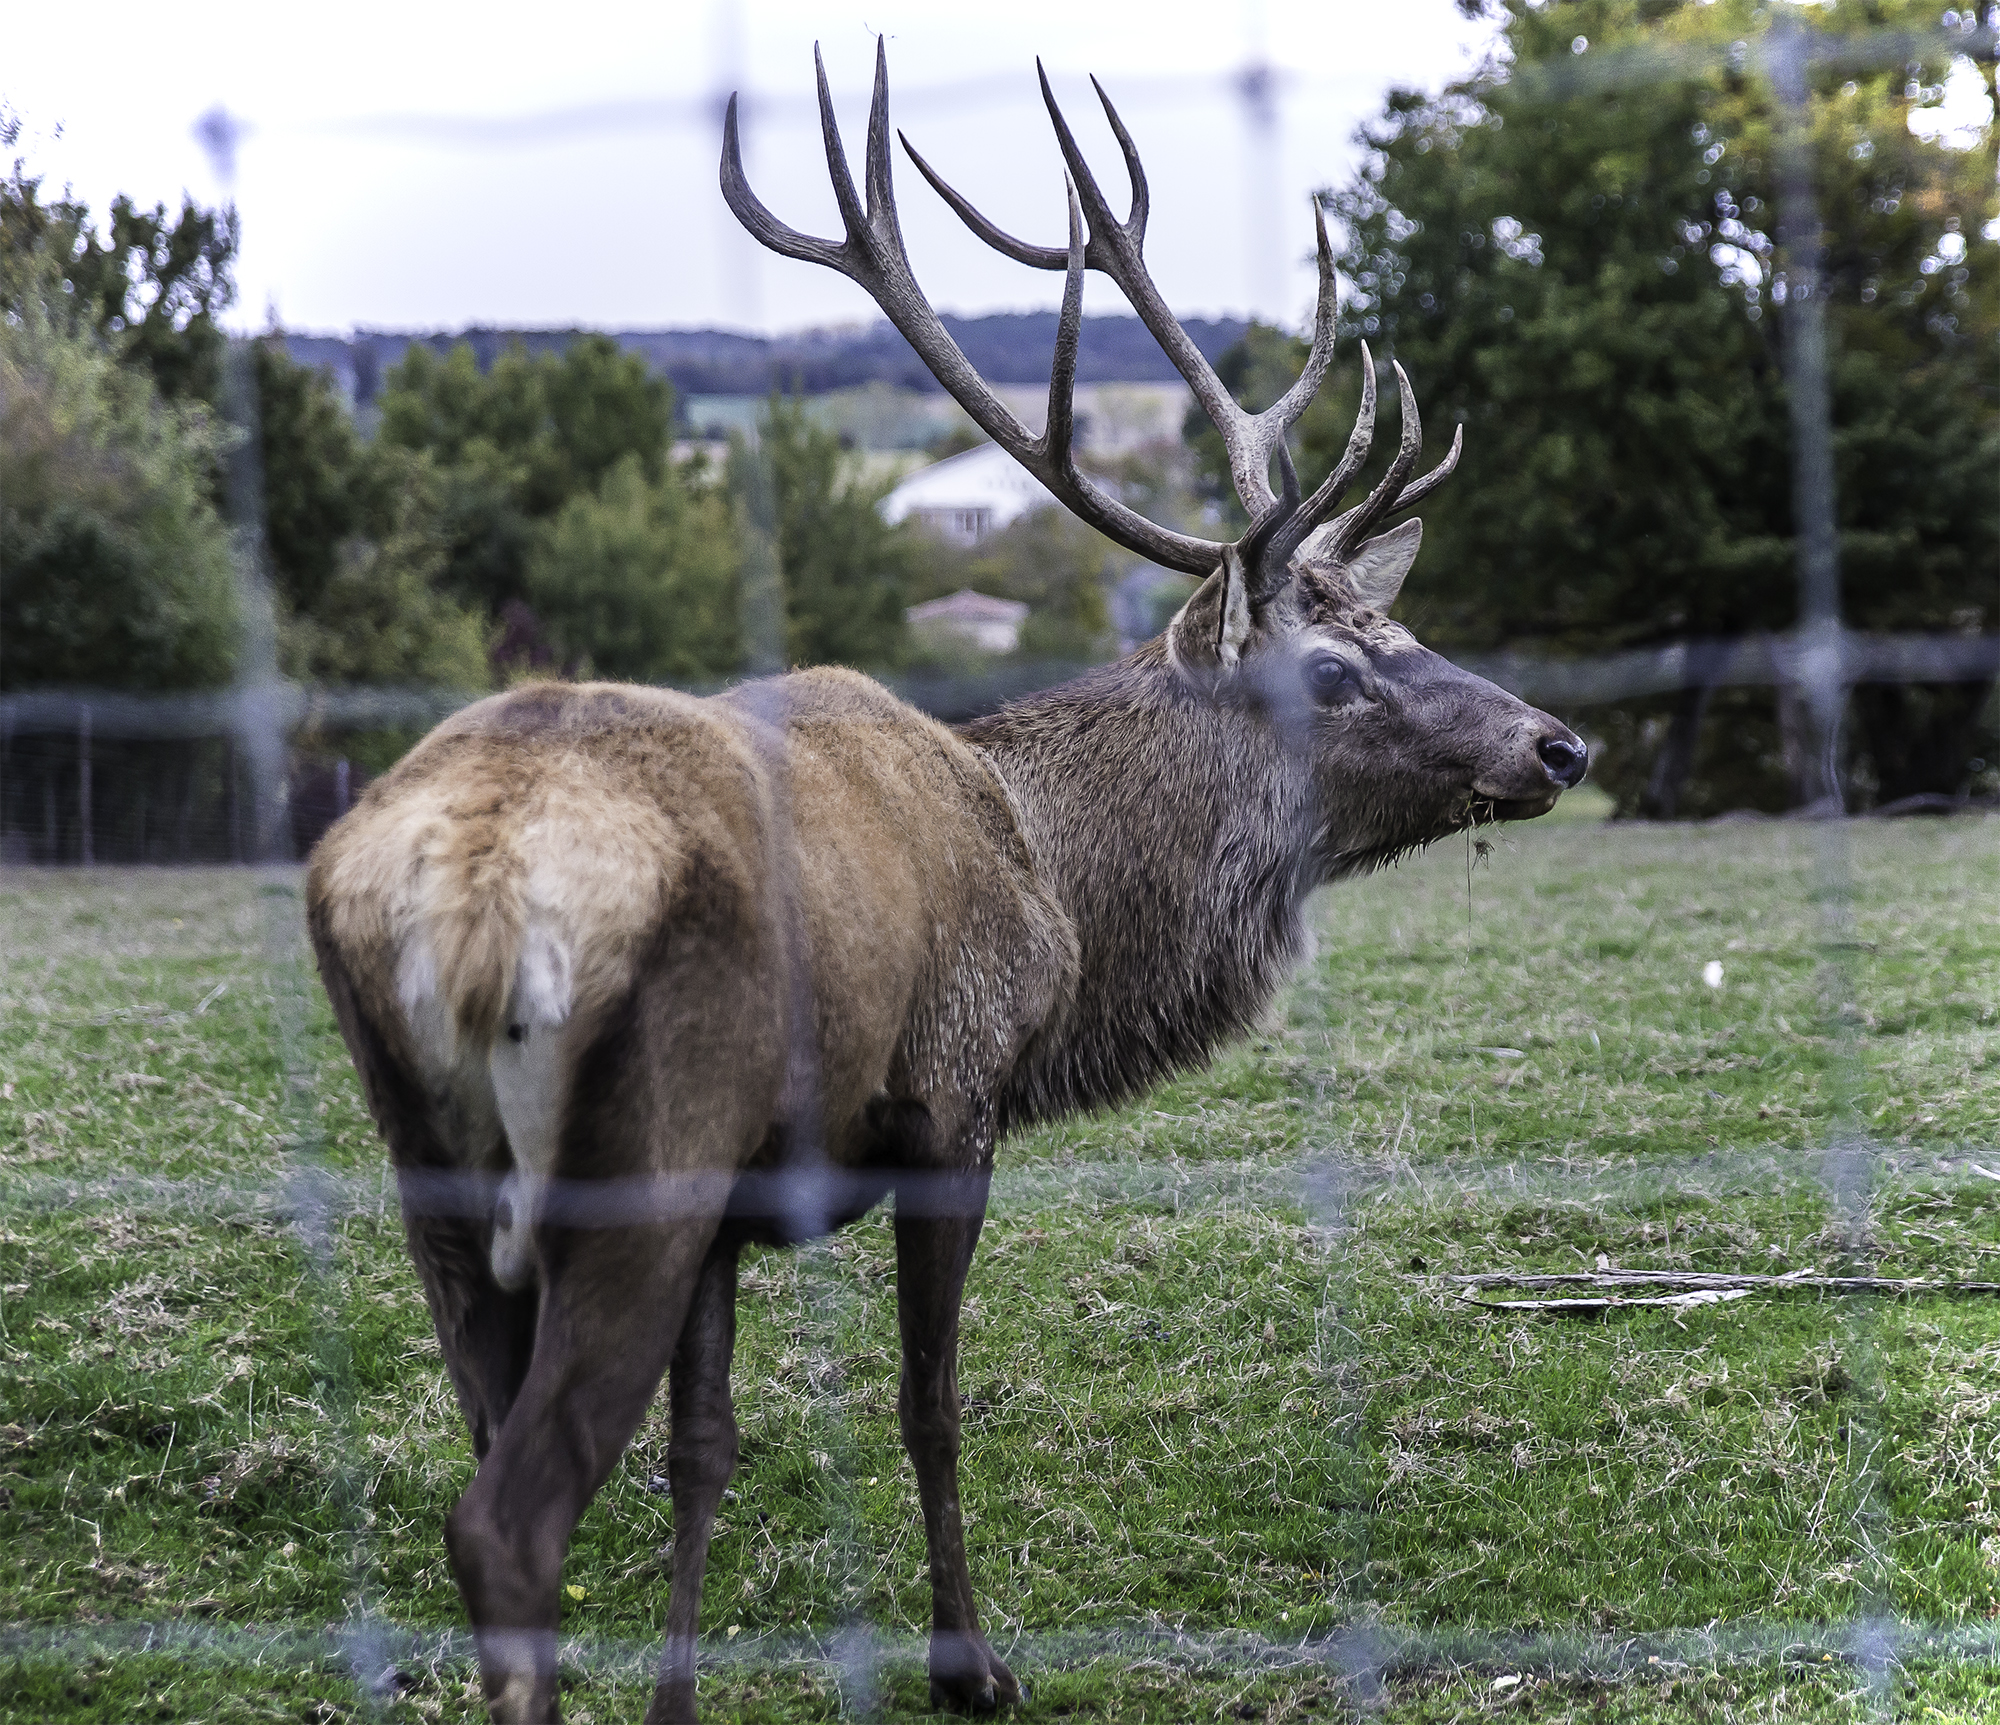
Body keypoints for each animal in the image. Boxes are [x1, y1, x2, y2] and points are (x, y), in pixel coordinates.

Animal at [303, 40, 1588, 1725]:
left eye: (1407, 633)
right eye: (1329, 672)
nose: (1559, 741)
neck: (1061, 892)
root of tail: (439, 882)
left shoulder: (740, 1204)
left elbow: (707, 1452)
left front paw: (683, 1693)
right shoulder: (951, 1094)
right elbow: (929, 1399)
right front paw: (971, 1659)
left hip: (435, 1175)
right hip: (636, 1152)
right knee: (503, 1522)